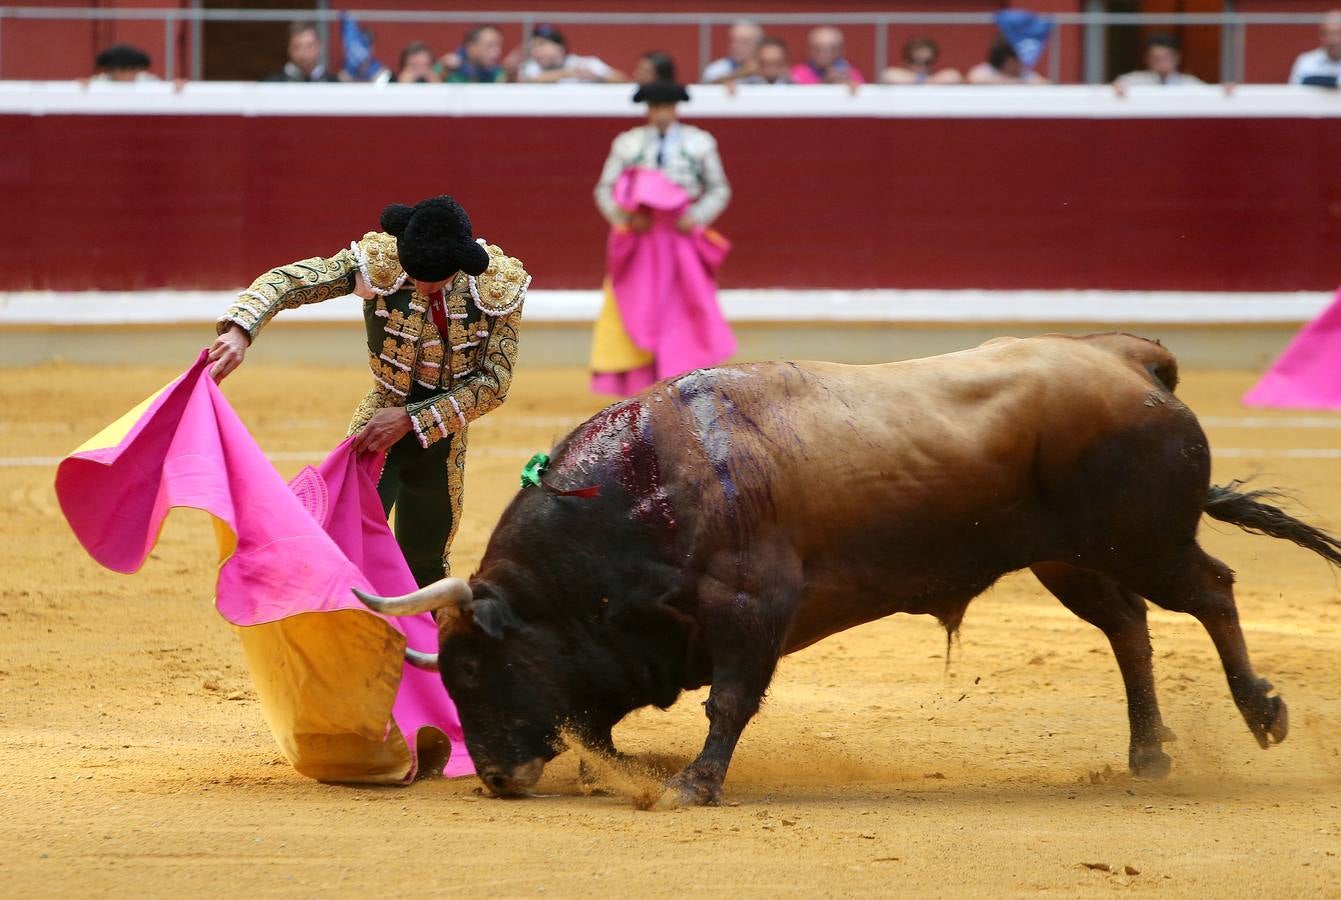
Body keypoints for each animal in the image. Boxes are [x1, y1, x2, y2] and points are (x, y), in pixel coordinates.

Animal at [354, 333, 1341, 804]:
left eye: (475, 668)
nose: (495, 778)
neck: (645, 487)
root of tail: (1127, 358)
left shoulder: (754, 607)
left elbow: (728, 702)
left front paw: (690, 787)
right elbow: (607, 719)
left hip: (1143, 540)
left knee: (1210, 592)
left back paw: (1261, 714)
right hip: (1072, 558)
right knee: (1130, 627)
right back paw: (1147, 754)